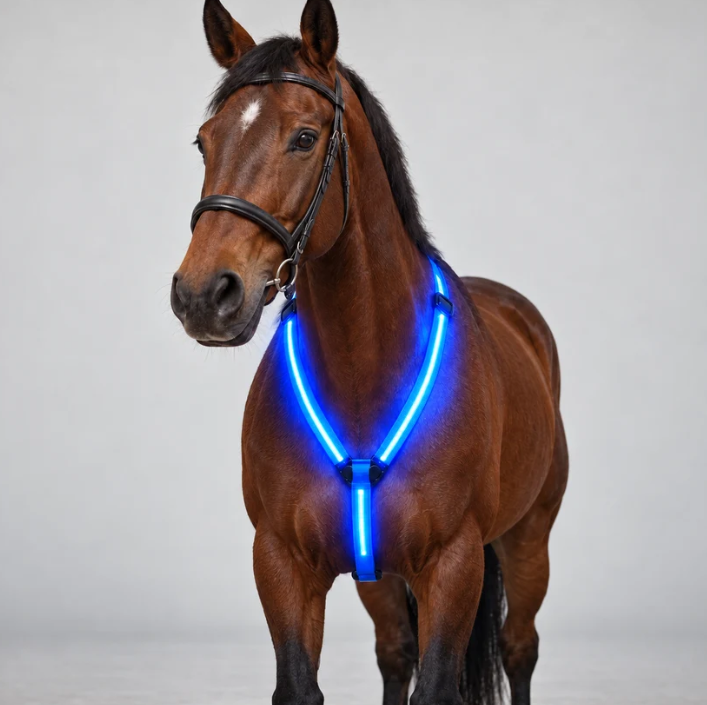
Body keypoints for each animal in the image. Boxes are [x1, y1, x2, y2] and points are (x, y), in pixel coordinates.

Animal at [170, 1, 569, 703]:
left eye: (304, 138)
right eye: (204, 141)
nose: (202, 295)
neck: (364, 378)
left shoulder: (453, 565)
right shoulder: (282, 562)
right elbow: (304, 683)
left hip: (529, 542)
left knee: (520, 648)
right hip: (381, 578)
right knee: (394, 653)